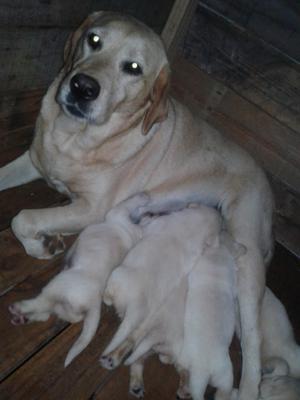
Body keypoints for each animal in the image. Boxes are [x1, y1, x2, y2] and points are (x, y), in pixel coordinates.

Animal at [8, 193, 149, 366]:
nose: (146, 195)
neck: (133, 233)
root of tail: (94, 305)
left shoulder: (117, 213)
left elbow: (127, 204)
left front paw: (140, 197)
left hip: (57, 287)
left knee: (41, 304)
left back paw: (19, 309)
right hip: (64, 308)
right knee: (45, 314)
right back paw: (23, 319)